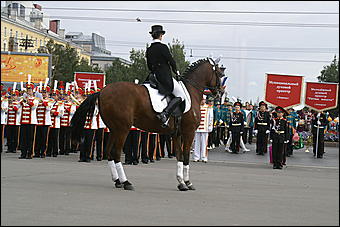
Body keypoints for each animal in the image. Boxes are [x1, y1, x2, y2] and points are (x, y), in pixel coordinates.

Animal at [71, 57, 226, 191]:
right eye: (220, 73)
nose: (220, 93)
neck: (190, 92)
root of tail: (102, 91)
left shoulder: (176, 134)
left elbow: (179, 156)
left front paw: (181, 182)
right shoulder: (189, 132)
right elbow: (186, 156)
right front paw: (188, 182)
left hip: (114, 130)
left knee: (109, 152)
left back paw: (117, 181)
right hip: (122, 129)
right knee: (116, 152)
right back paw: (126, 182)